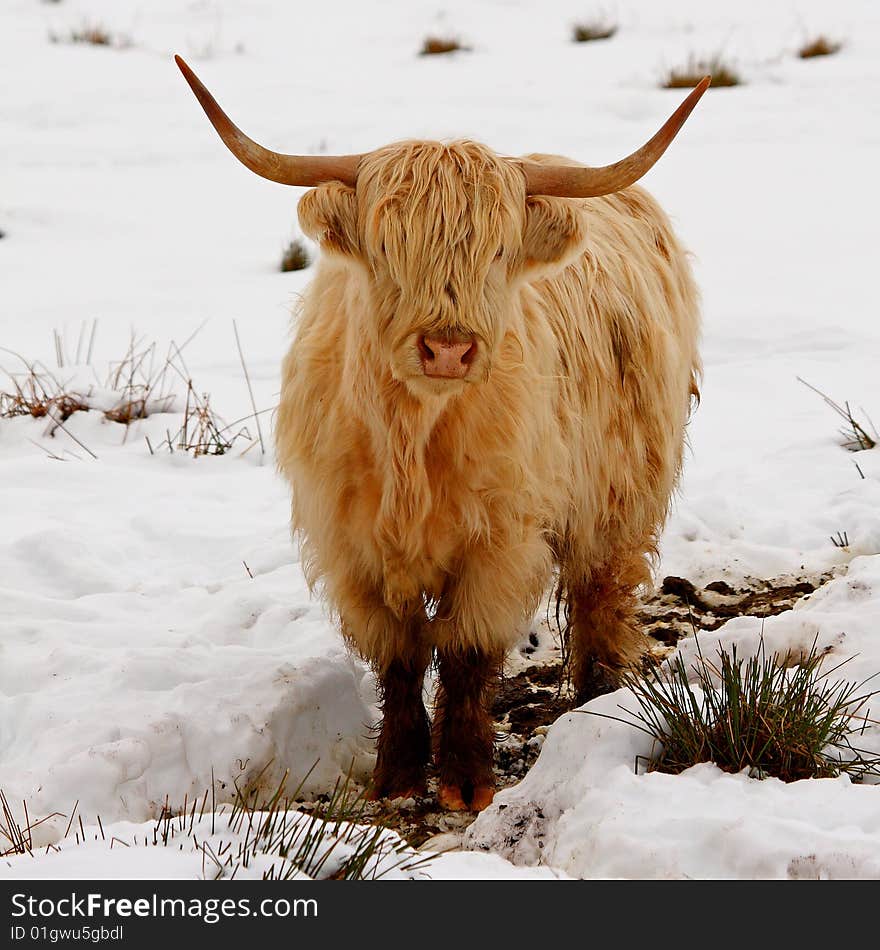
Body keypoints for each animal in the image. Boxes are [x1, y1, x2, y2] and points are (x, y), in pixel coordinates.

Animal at [179, 55, 708, 816]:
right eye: (387, 245)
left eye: (499, 250)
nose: (448, 349)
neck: (415, 441)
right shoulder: (351, 548)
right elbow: (399, 657)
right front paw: (398, 775)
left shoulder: (501, 542)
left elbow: (464, 654)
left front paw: (464, 779)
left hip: (622, 491)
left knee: (600, 592)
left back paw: (599, 695)